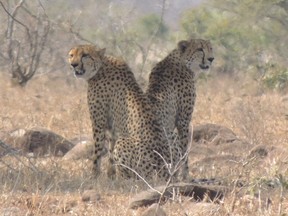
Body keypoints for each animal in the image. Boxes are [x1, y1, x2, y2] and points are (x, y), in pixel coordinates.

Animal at [146, 39, 214, 181]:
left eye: (210, 48)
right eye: (200, 49)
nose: (211, 59)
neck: (183, 61)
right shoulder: (183, 121)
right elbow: (185, 150)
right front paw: (186, 175)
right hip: (169, 136)